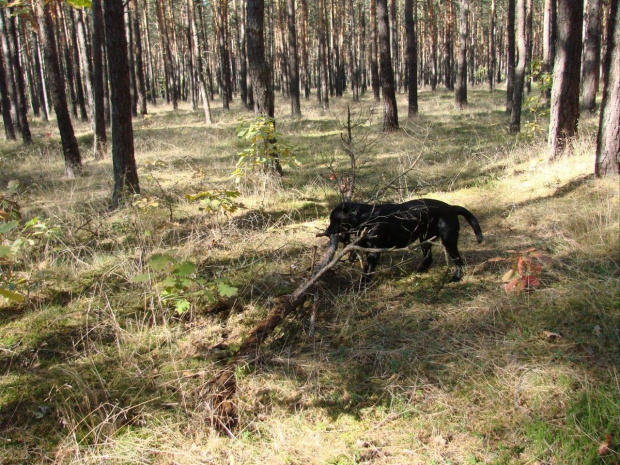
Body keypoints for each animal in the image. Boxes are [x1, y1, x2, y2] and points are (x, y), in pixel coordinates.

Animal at [320, 197, 484, 280]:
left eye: (334, 220)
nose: (326, 231)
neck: (366, 217)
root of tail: (451, 207)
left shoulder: (374, 252)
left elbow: (367, 271)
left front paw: (362, 286)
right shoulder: (366, 246)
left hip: (448, 241)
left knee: (460, 262)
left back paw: (456, 277)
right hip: (425, 240)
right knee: (428, 258)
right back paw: (419, 270)